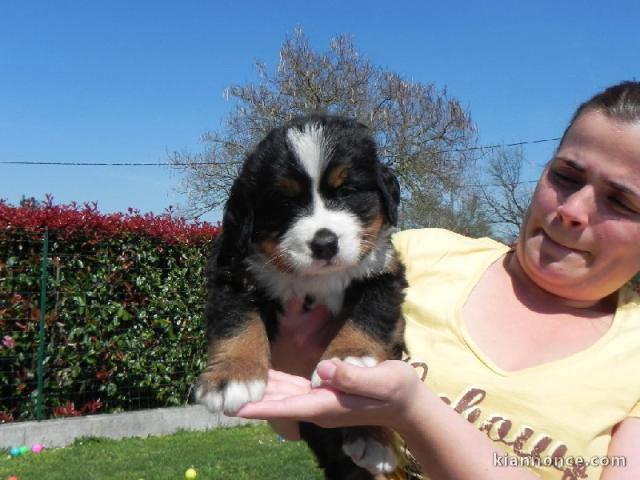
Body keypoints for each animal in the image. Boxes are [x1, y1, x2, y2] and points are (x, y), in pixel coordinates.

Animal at [195, 114, 408, 478]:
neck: (318, 279)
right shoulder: (233, 272)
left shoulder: (383, 272)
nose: (324, 243)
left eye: (347, 191)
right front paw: (233, 376)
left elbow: (367, 318)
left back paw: (372, 438)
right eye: (285, 203)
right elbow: (238, 324)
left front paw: (350, 356)